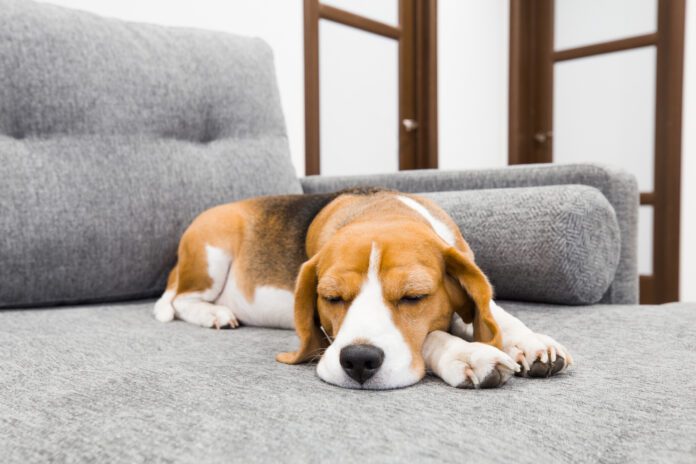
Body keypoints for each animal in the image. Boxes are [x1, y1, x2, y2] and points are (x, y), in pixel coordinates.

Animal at [155, 187, 572, 390]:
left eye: (414, 297)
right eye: (331, 297)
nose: (358, 361)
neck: (381, 211)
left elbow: (496, 313)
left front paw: (530, 342)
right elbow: (432, 336)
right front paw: (468, 354)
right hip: (212, 251)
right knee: (181, 300)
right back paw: (215, 313)